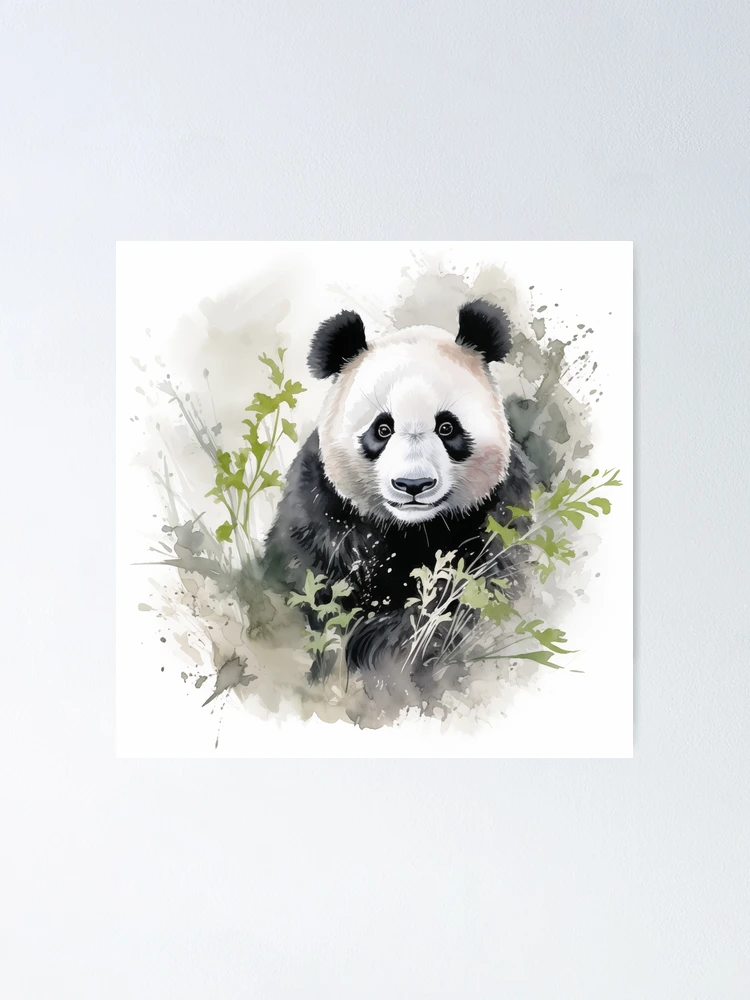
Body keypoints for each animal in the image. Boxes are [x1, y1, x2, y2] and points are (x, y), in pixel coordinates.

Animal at [264, 299, 532, 682]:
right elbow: (308, 580)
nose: (413, 485)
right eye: (382, 429)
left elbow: (478, 590)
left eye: (447, 427)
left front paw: (388, 650)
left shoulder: (497, 513)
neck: (411, 529)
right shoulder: (320, 507)